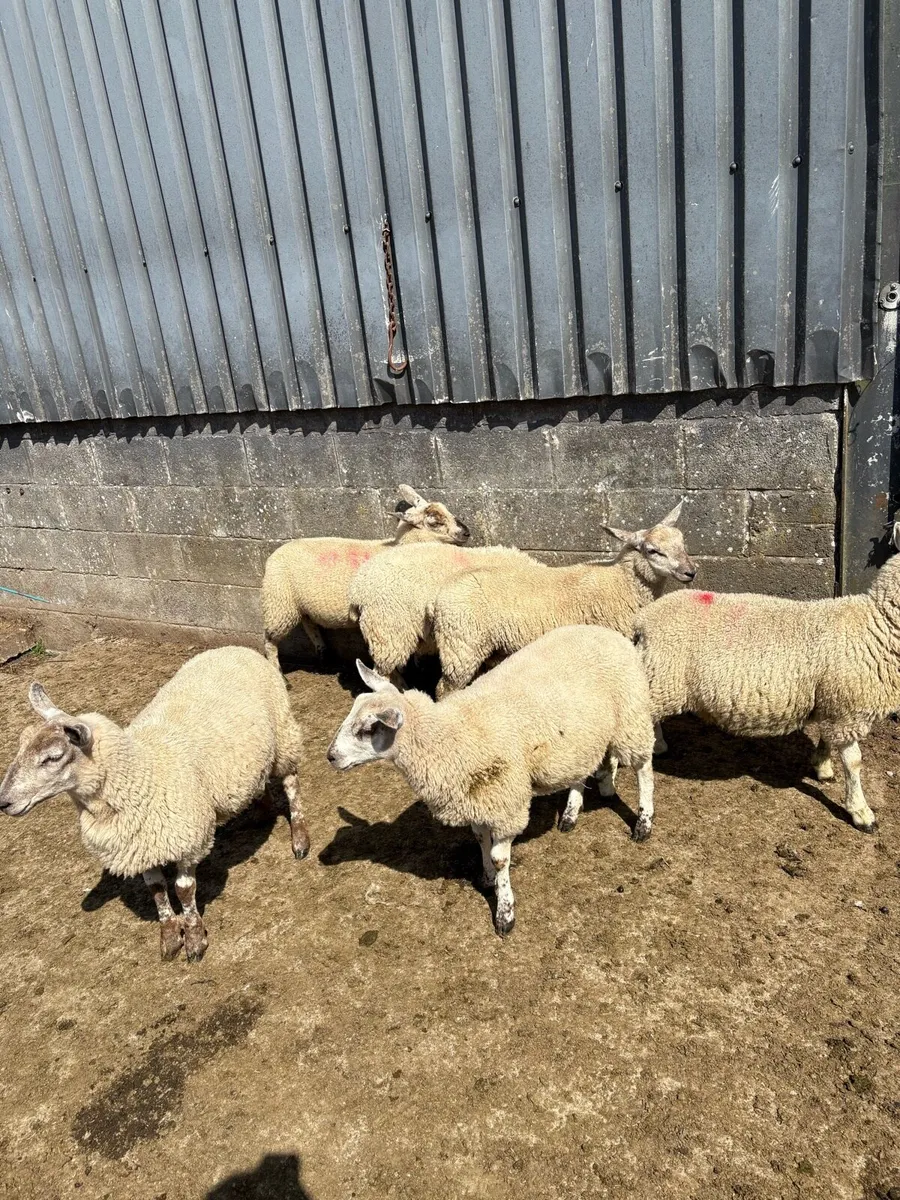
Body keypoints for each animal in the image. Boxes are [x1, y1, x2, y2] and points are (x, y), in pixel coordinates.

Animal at [0, 647, 307, 963]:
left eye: (53, 757)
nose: (4, 802)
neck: (143, 771)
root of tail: (235, 648)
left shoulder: (187, 839)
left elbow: (184, 891)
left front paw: (195, 941)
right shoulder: (141, 846)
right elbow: (157, 890)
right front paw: (170, 938)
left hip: (284, 735)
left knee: (291, 783)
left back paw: (299, 838)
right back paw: (262, 811)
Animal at [261, 485, 470, 664]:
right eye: (434, 521)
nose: (466, 532)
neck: (399, 546)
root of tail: (275, 553)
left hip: (299, 606)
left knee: (309, 625)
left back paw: (323, 653)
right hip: (279, 604)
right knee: (270, 641)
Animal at [326, 625, 656, 936]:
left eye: (369, 729)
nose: (330, 756)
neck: (448, 737)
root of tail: (608, 632)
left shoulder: (504, 804)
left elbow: (500, 859)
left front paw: (504, 912)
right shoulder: (478, 800)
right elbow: (479, 839)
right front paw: (486, 878)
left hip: (631, 715)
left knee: (644, 767)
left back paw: (643, 823)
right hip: (583, 735)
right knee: (583, 769)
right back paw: (574, 811)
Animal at [432, 501, 696, 695]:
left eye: (682, 542)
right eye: (652, 551)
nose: (690, 572)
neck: (622, 582)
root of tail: (441, 595)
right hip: (461, 646)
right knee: (444, 688)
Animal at [633, 522, 900, 835]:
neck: (877, 622)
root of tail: (643, 619)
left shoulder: (832, 700)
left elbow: (826, 738)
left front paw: (822, 767)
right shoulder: (849, 709)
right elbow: (855, 763)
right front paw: (861, 812)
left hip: (657, 679)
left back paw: (659, 746)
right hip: (663, 677)